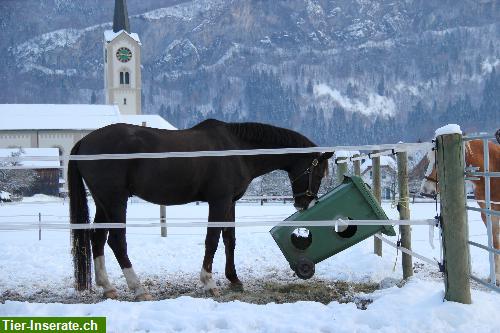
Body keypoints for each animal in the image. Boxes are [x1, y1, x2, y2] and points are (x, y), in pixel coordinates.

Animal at [67, 118, 332, 298]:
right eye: (318, 171)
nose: (305, 202)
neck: (236, 148)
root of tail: (84, 141)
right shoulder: (219, 201)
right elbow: (212, 240)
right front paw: (209, 282)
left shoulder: (230, 202)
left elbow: (229, 239)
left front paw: (234, 279)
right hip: (115, 201)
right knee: (116, 241)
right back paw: (138, 288)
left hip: (103, 203)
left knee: (97, 238)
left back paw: (107, 287)